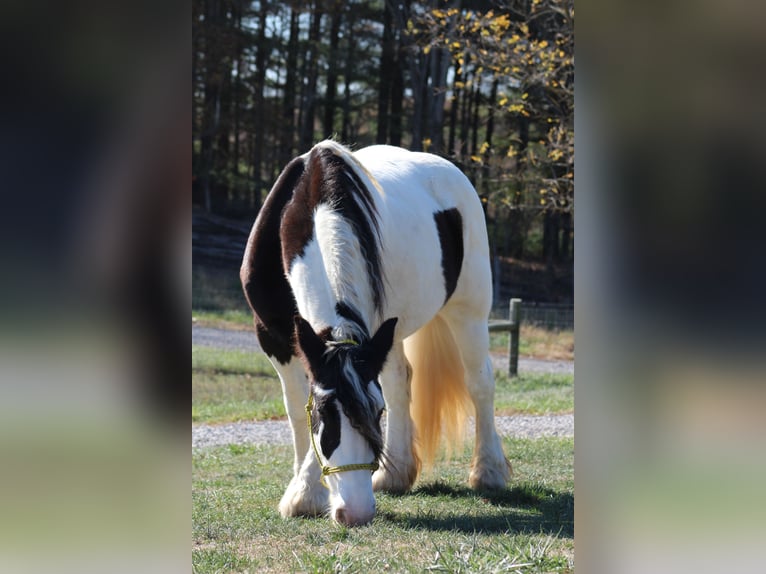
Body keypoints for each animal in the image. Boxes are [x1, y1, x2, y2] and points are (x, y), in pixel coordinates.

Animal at [243, 140, 512, 528]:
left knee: (479, 383)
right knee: (401, 384)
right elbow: (296, 409)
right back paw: (396, 473)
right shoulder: (274, 337)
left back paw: (488, 471)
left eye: (376, 413)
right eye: (324, 414)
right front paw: (306, 491)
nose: (356, 513)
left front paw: (305, 491)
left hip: (469, 310)